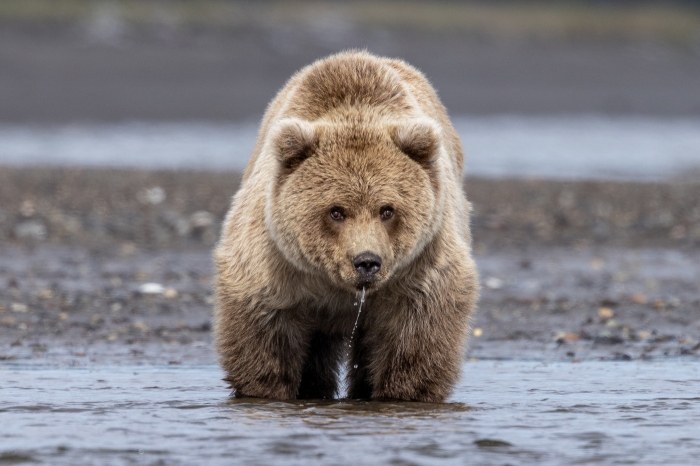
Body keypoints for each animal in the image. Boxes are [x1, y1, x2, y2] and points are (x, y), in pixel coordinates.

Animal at [214, 50, 479, 402]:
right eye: (336, 211)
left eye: (387, 210)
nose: (366, 261)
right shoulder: (276, 260)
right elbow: (263, 330)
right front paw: (267, 388)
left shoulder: (420, 264)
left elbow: (416, 335)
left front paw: (400, 393)